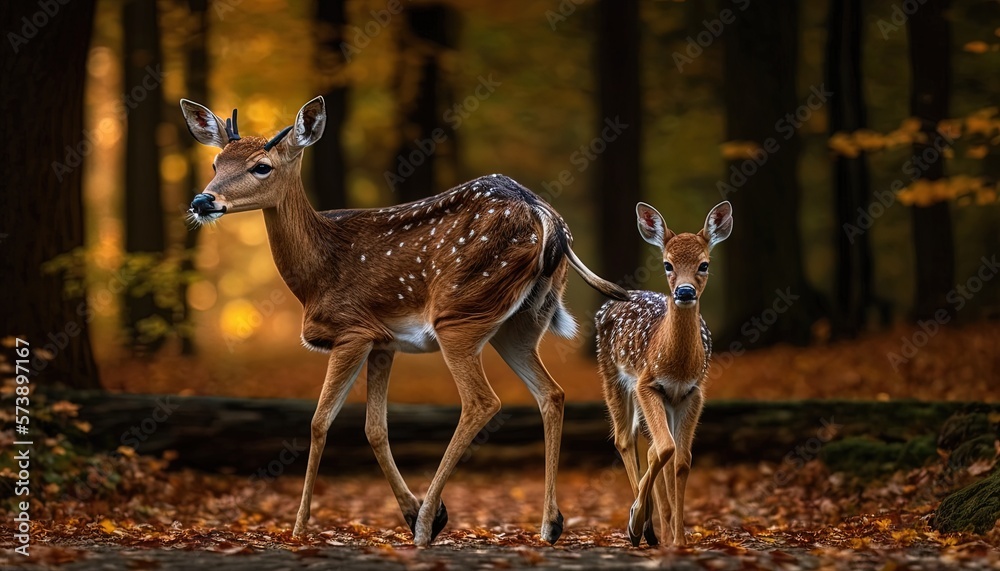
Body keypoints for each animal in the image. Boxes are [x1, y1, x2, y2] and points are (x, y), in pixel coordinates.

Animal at [176, 97, 620, 544]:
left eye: (262, 166)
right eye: (215, 162)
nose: (202, 201)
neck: (316, 274)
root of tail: (548, 218)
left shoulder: (352, 329)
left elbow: (320, 421)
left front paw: (300, 528)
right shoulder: (383, 341)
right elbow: (375, 428)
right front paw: (411, 510)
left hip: (459, 313)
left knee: (482, 400)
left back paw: (426, 525)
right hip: (520, 324)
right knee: (552, 393)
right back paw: (548, 525)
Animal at [592, 200, 736, 544]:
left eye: (704, 264)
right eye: (668, 264)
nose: (684, 292)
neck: (677, 366)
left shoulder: (693, 393)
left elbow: (681, 460)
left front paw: (680, 541)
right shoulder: (647, 384)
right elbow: (665, 448)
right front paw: (635, 521)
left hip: (665, 401)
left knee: (655, 450)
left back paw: (658, 530)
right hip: (611, 374)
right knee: (625, 439)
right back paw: (640, 525)